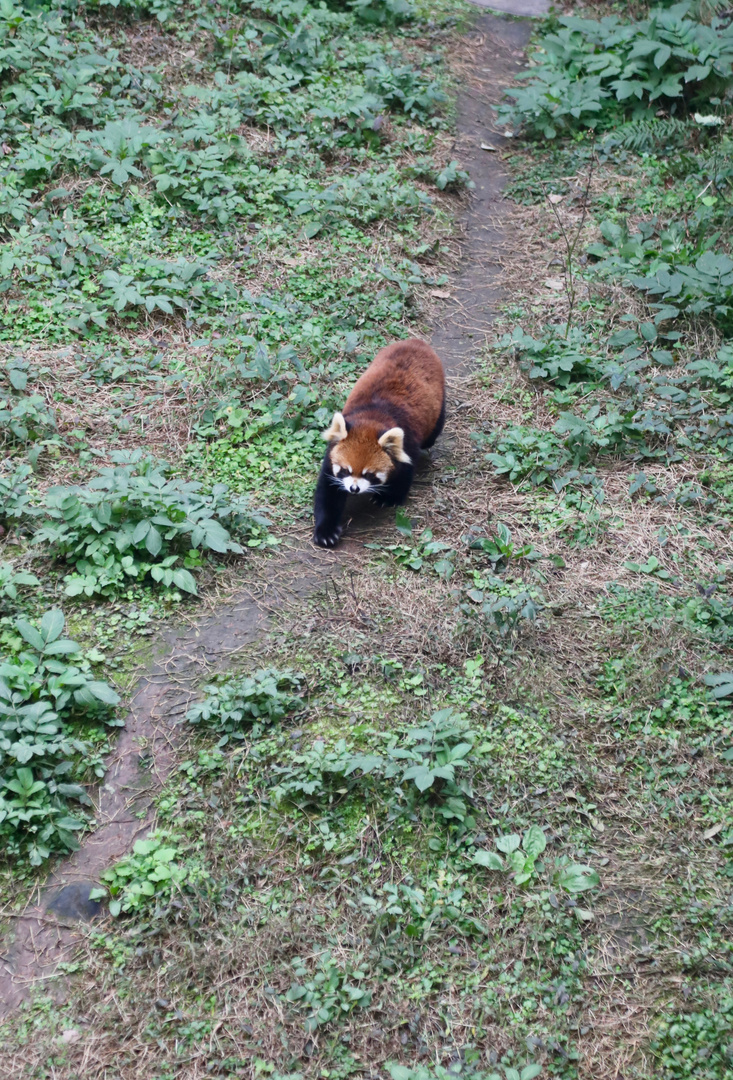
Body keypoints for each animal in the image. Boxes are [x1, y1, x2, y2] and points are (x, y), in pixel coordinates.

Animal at [313, 339, 444, 548]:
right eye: (346, 470)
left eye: (369, 474)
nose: (354, 489)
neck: (371, 419)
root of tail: (416, 342)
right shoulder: (331, 458)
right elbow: (328, 493)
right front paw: (326, 531)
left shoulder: (407, 445)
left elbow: (405, 474)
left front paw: (389, 497)